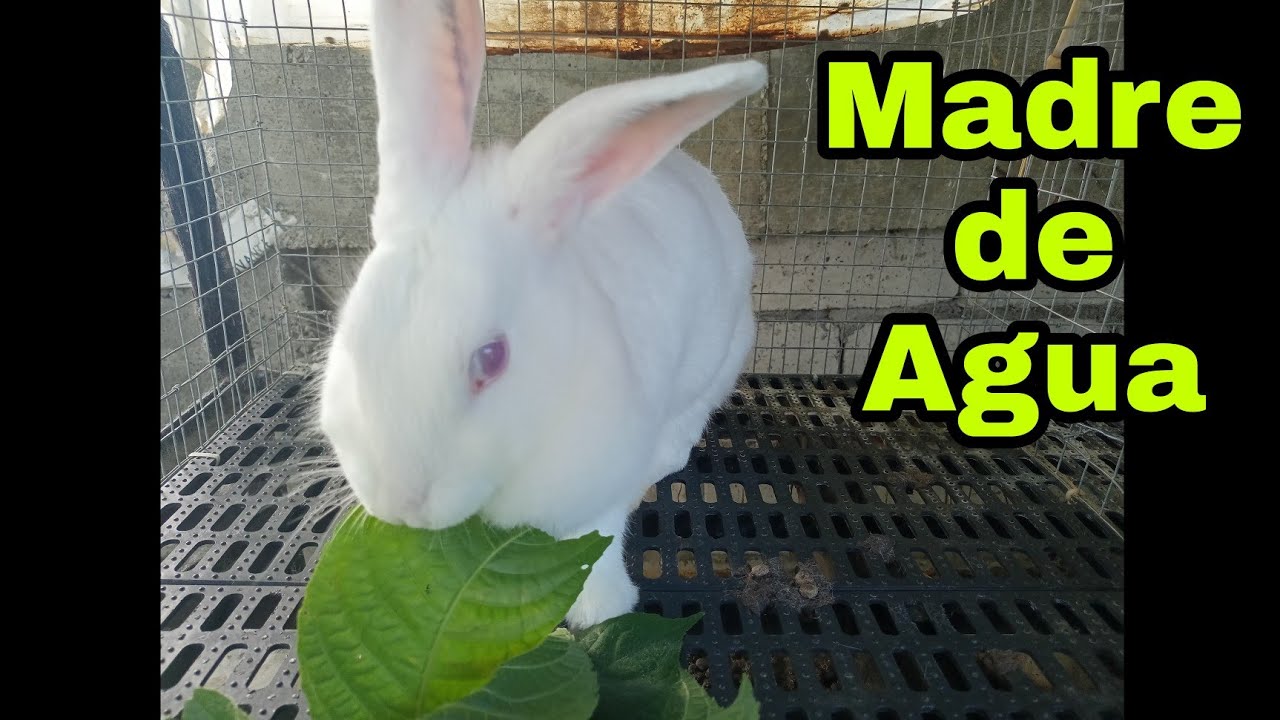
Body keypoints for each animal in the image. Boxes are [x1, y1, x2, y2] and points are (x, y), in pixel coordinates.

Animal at [317, 0, 764, 630]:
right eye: (349, 340)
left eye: (492, 358)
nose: (402, 504)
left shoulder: (594, 489)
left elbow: (596, 540)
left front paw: (600, 610)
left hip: (721, 355)